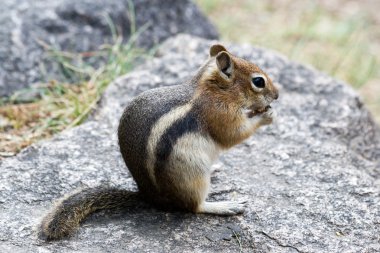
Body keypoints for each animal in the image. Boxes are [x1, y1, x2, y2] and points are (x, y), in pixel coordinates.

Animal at [40, 44, 280, 241]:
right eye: (258, 81)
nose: (277, 95)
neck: (212, 89)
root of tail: (149, 196)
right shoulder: (218, 113)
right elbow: (232, 134)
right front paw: (266, 116)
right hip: (192, 174)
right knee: (194, 207)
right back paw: (224, 205)